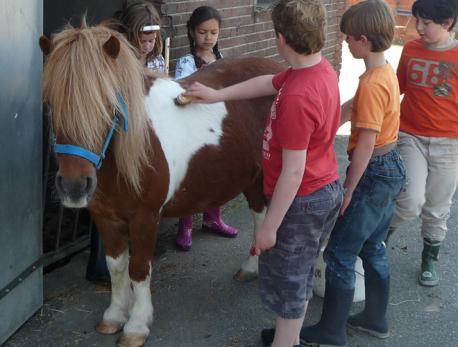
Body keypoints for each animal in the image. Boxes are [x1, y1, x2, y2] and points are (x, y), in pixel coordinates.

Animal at [39, 23, 282, 346]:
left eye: (109, 104)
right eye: (50, 104)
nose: (74, 188)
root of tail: (279, 72)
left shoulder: (145, 218)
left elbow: (139, 269)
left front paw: (136, 325)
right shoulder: (105, 218)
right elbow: (117, 267)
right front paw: (115, 315)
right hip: (253, 178)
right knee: (260, 217)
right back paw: (251, 269)